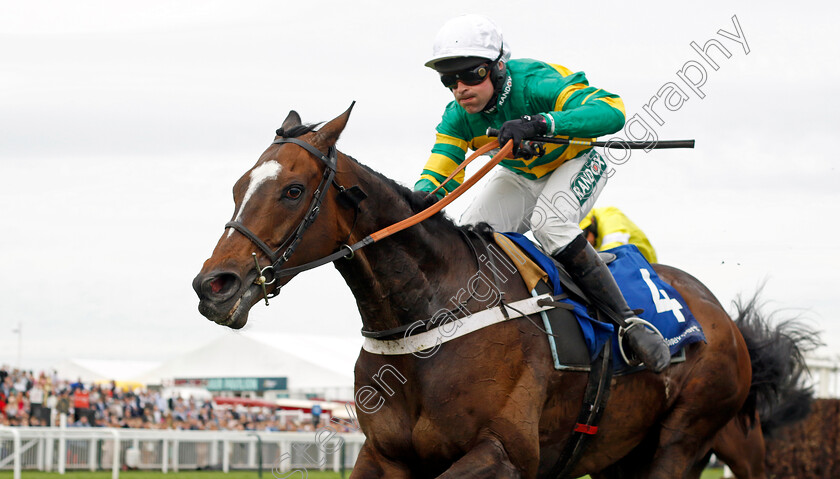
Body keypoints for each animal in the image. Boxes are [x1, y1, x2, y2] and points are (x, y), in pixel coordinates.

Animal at [190, 107, 800, 478]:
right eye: (239, 187)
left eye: (293, 190)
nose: (213, 286)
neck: (430, 318)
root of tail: (724, 318)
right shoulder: (385, 456)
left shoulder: (505, 454)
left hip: (687, 438)